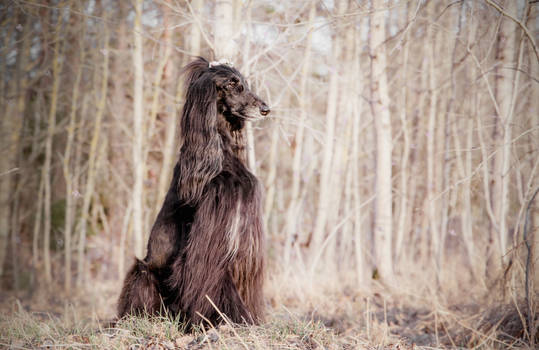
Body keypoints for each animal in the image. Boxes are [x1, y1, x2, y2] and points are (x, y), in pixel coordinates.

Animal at [118, 56, 270, 326]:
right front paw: (222, 320)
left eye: (243, 83)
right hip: (144, 271)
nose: (265, 109)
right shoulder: (209, 239)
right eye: (231, 85)